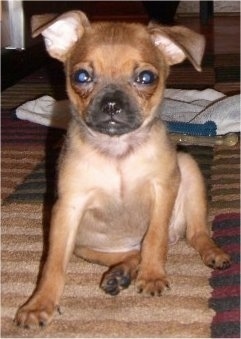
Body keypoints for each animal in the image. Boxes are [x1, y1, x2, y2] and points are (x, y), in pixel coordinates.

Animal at [15, 11, 232, 330]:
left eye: (146, 78)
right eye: (81, 76)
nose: (111, 104)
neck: (117, 152)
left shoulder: (164, 187)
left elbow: (154, 239)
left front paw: (153, 276)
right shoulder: (68, 207)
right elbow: (52, 263)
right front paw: (40, 304)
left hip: (188, 169)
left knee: (196, 234)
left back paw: (211, 253)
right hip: (84, 247)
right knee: (132, 254)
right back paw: (120, 274)